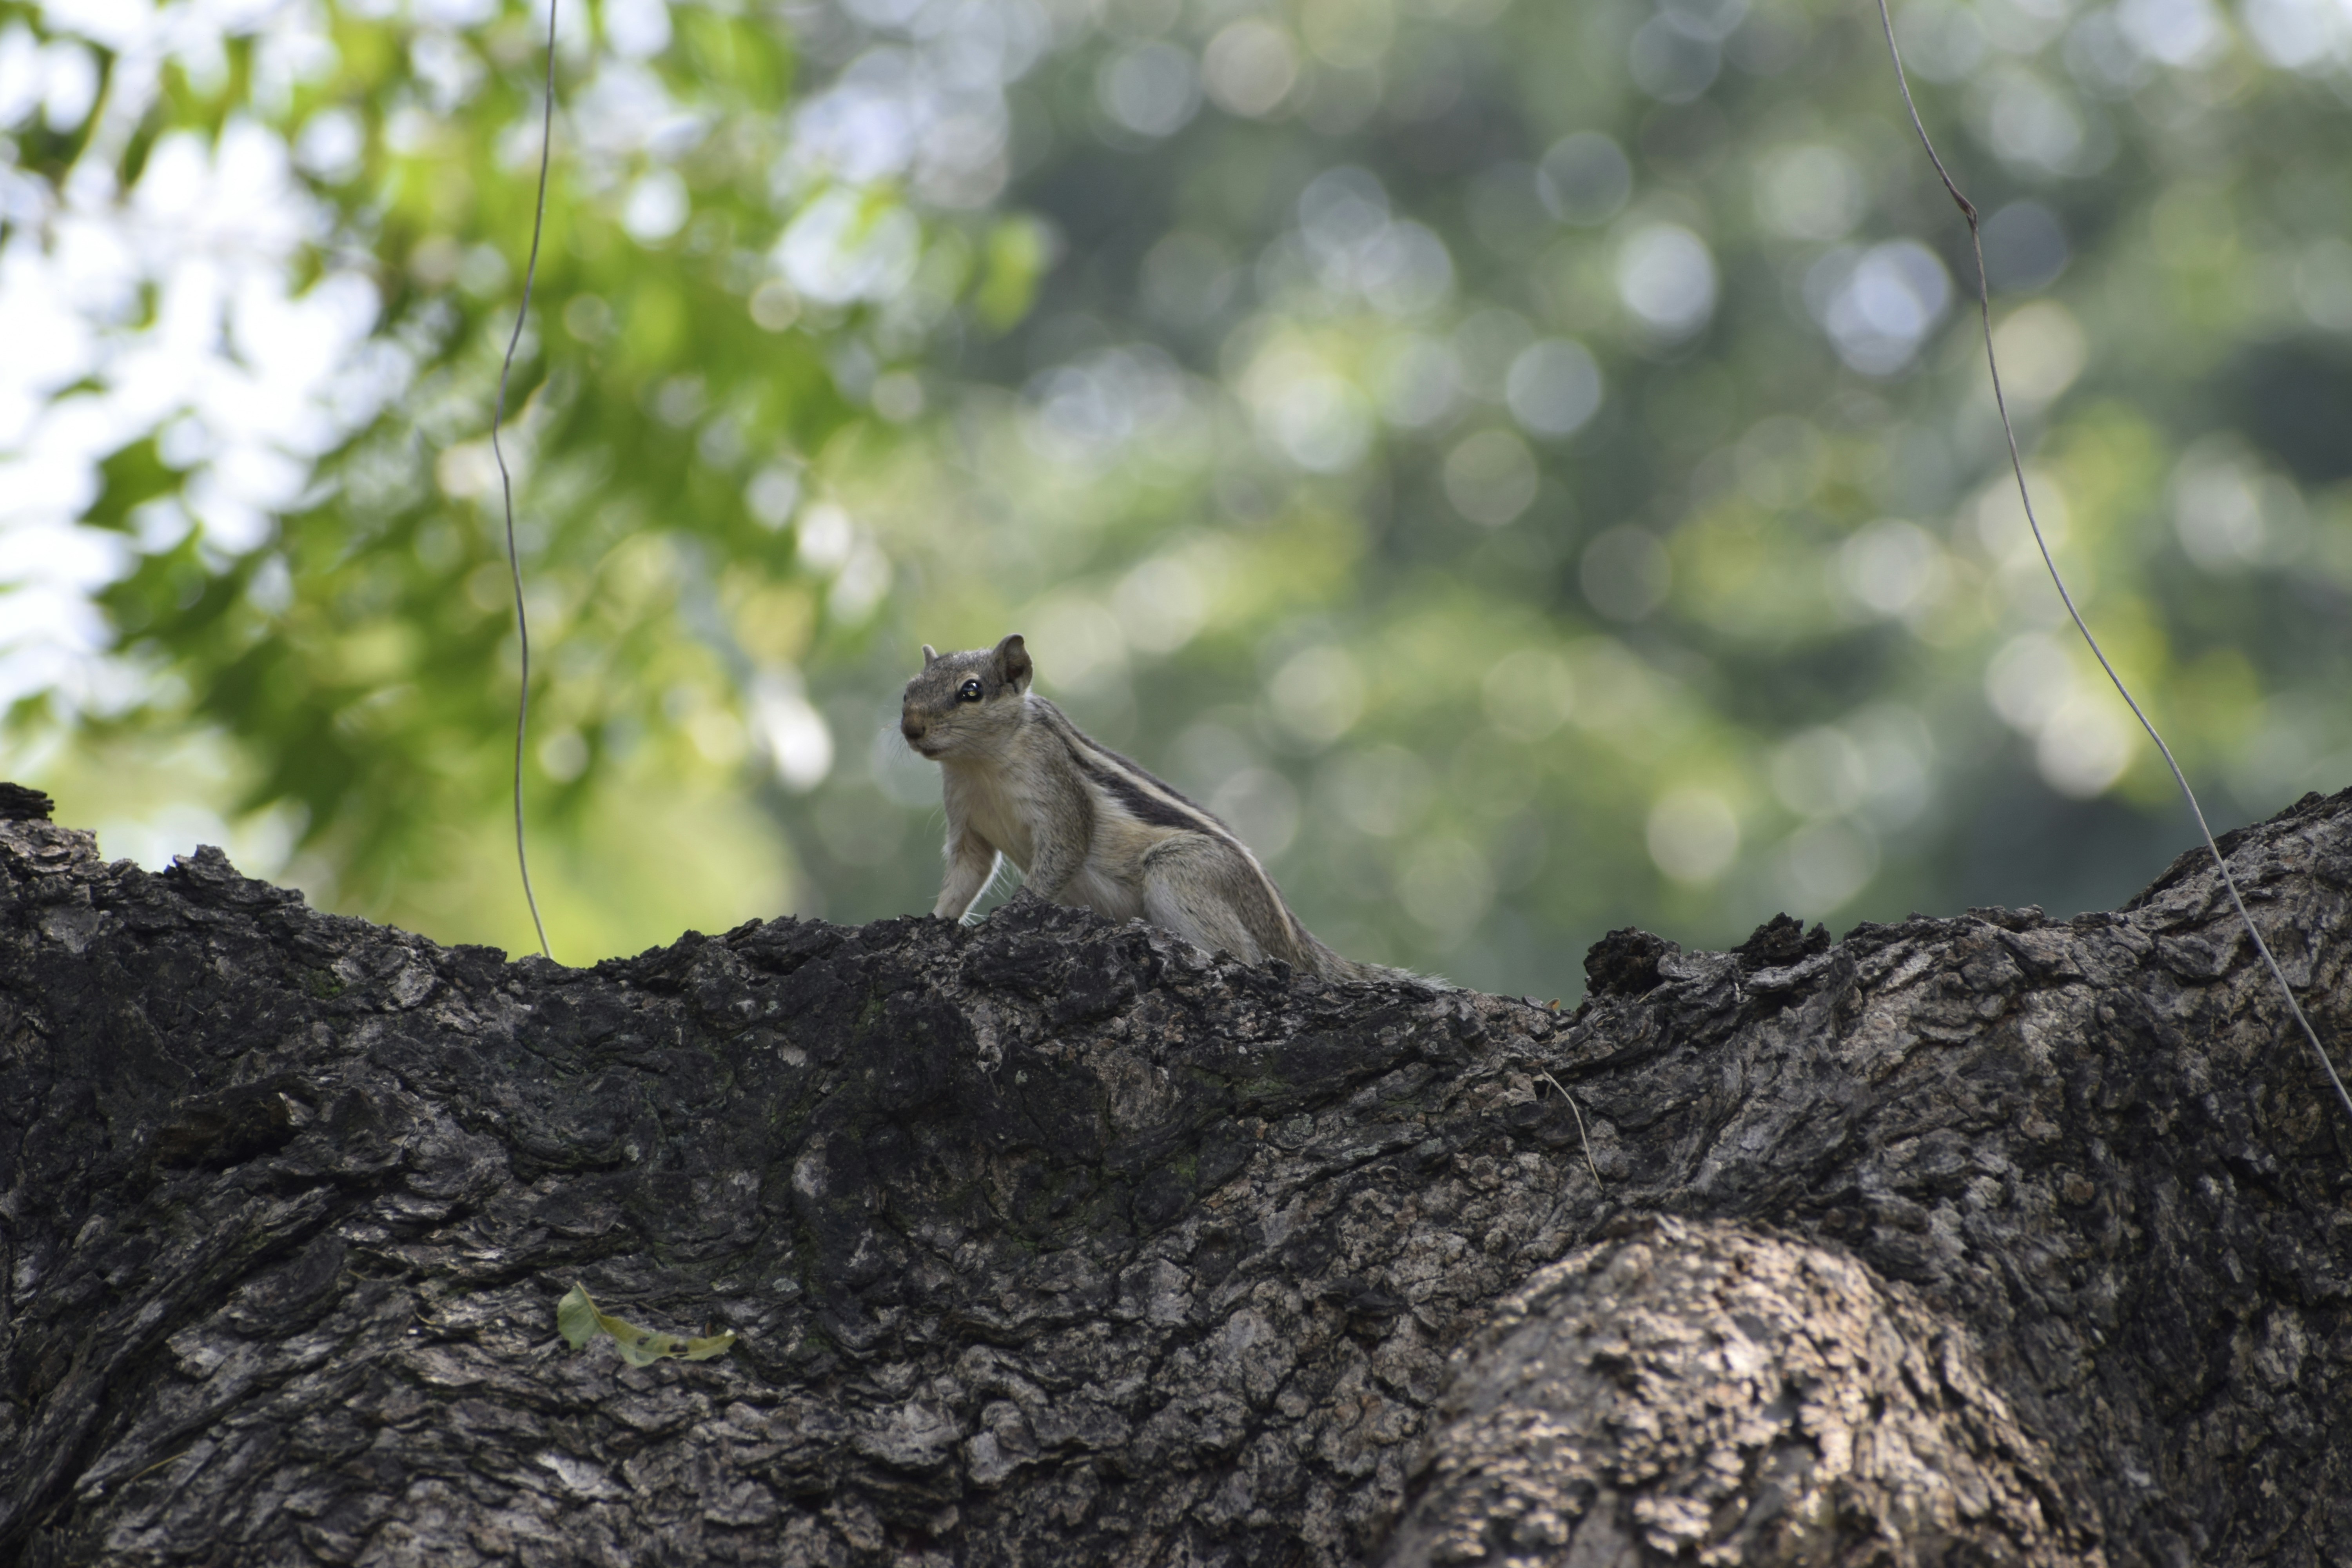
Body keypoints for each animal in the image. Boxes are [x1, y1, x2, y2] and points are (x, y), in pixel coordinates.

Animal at [901, 635, 1421, 986]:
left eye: (971, 691)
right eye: (908, 689)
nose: (911, 728)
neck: (979, 764)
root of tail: (1292, 938)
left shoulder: (1059, 794)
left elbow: (1061, 856)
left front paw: (1007, 919)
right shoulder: (967, 824)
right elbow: (966, 876)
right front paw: (935, 922)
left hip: (1181, 870)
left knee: (1248, 957)